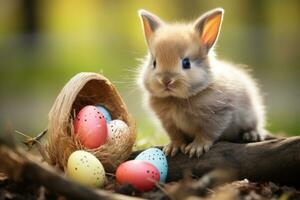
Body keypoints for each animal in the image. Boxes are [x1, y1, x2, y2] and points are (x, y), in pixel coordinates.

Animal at [137, 7, 268, 158]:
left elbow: (206, 133)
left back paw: (253, 135)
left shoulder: (218, 115)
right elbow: (176, 136)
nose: (166, 80)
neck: (177, 98)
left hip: (251, 115)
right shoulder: (169, 122)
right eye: (154, 63)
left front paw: (196, 148)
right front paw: (173, 148)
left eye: (186, 63)